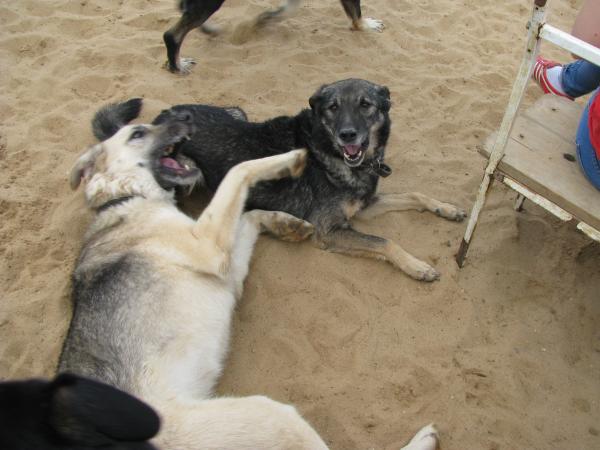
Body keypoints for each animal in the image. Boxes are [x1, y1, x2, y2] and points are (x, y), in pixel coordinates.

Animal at [59, 99, 438, 449]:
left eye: (366, 105)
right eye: (137, 133)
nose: (185, 120)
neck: (126, 197)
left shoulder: (229, 263)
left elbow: (250, 211)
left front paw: (287, 225)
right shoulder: (211, 246)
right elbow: (240, 171)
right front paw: (292, 157)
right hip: (267, 412)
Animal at [128, 79, 465, 281]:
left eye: (365, 104)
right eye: (333, 107)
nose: (347, 135)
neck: (327, 150)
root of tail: (162, 115)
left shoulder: (365, 204)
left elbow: (415, 195)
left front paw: (447, 209)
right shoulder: (330, 230)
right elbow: (384, 241)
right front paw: (418, 266)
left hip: (236, 112)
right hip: (184, 172)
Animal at [164, 0, 384, 73]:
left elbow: (286, 10)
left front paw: (262, 20)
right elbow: (356, 11)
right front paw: (365, 25)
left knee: (183, 9)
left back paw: (210, 30)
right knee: (172, 35)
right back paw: (178, 66)